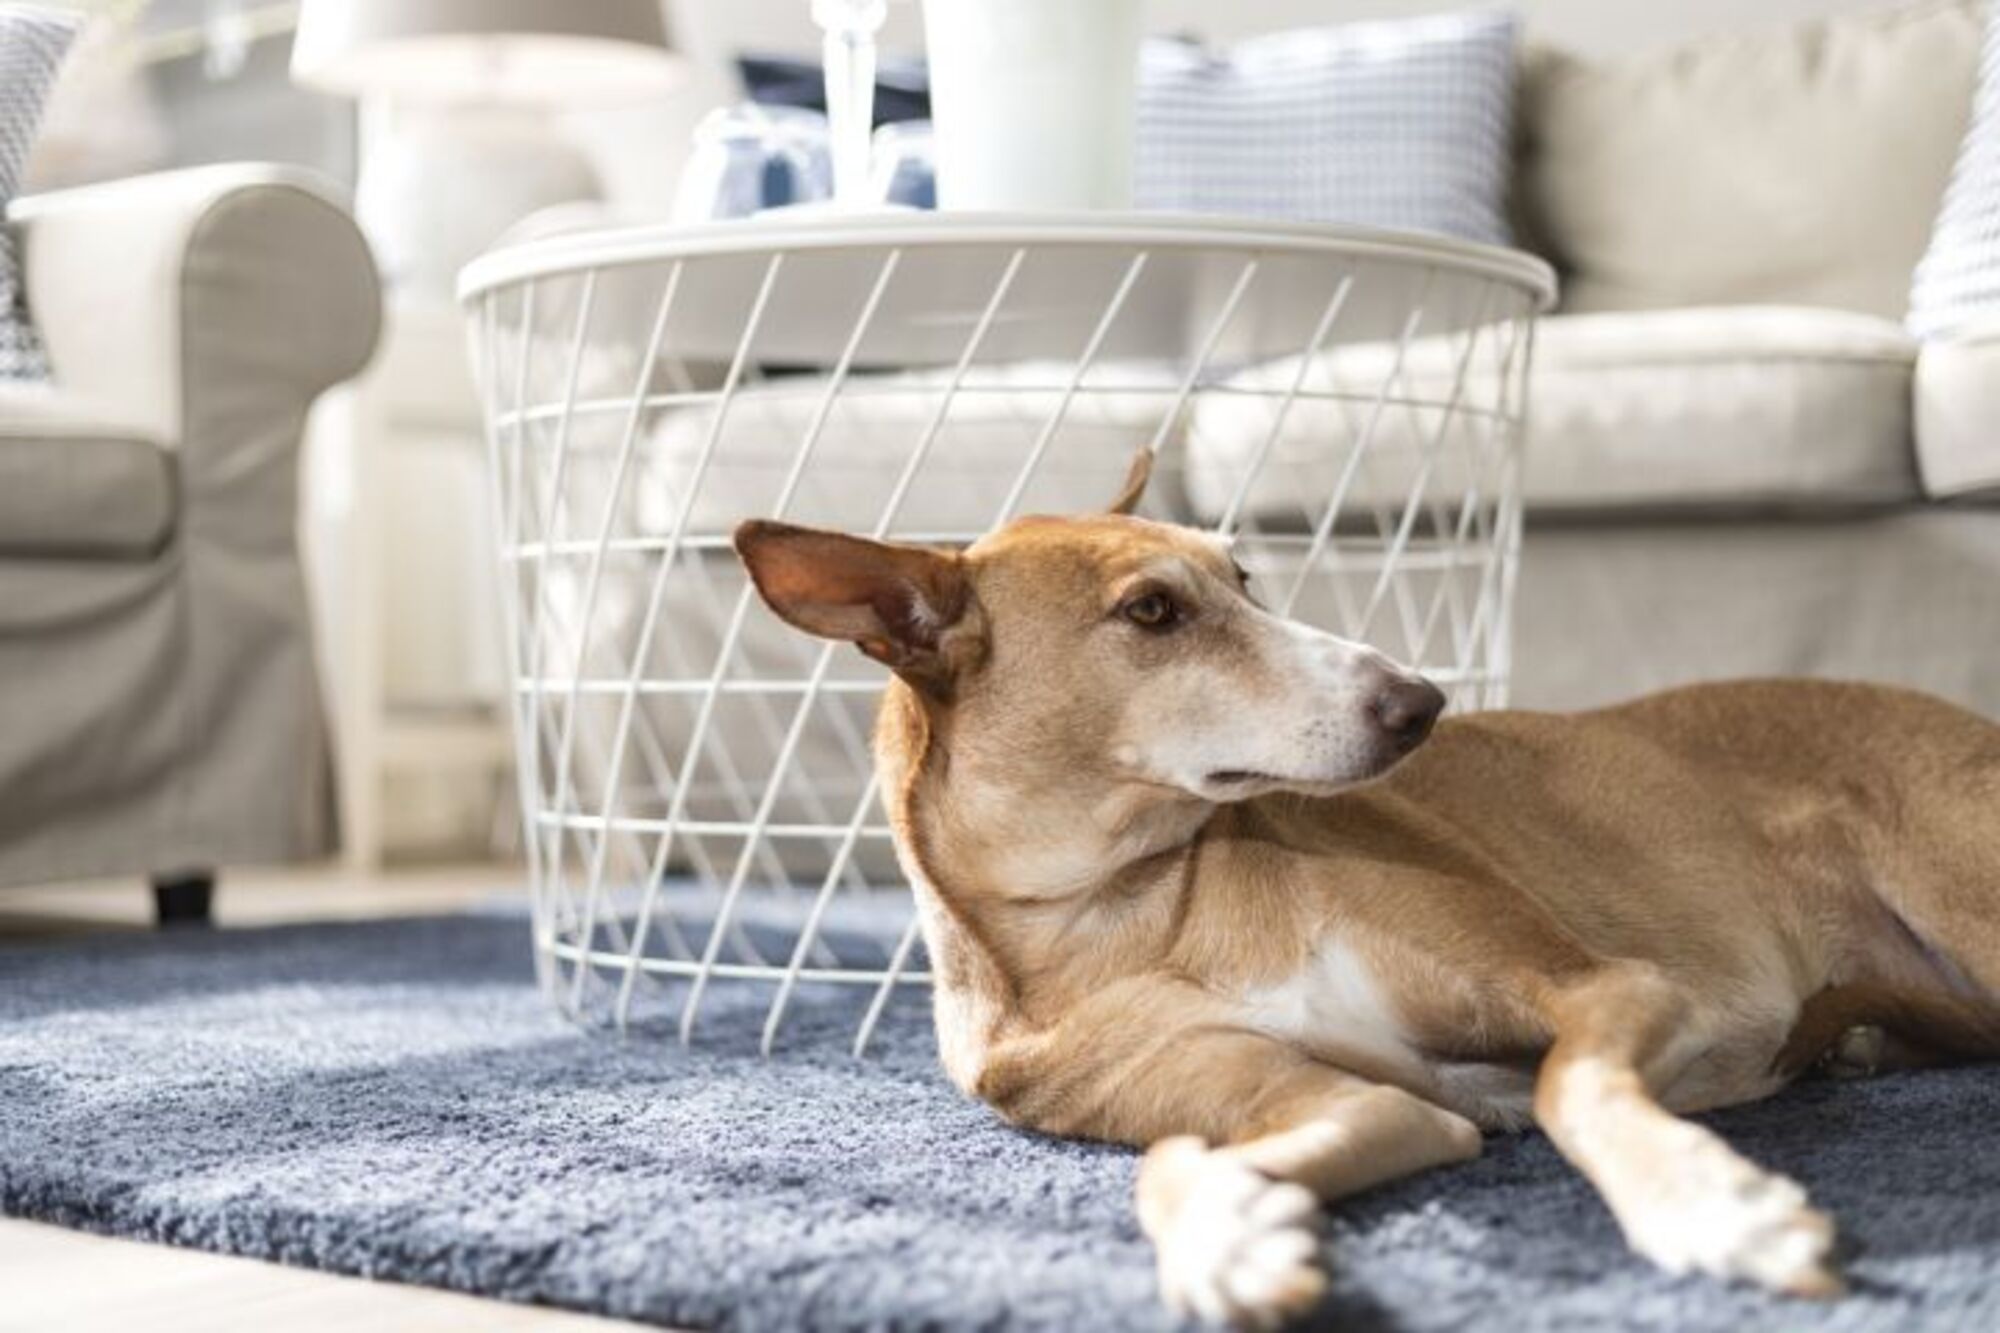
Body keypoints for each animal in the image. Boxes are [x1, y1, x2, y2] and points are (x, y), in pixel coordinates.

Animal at [733, 454, 2000, 1328]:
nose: (1422, 701)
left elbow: (1568, 1086)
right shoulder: (1360, 1107)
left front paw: (1706, 1208)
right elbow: (1170, 1160)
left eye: (1244, 576)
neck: (1131, 914)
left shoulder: (1604, 988)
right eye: (1152, 611)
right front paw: (1229, 1240)